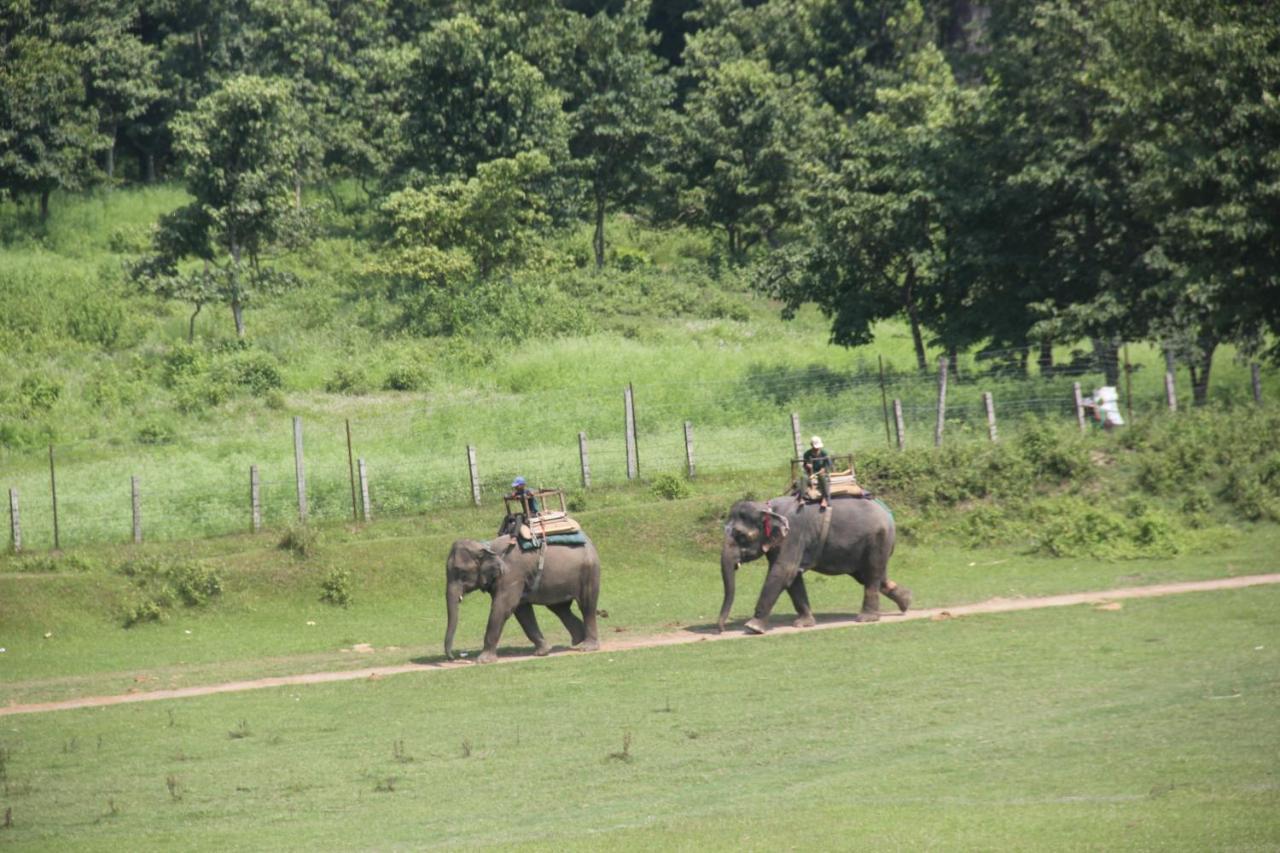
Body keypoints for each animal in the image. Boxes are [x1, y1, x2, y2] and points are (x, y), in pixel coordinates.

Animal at [442, 532, 601, 666]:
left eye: (461, 572)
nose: (453, 658)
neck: (487, 547)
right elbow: (521, 610)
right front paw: (542, 652)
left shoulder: (512, 575)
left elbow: (502, 608)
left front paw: (483, 661)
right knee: (560, 608)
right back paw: (578, 639)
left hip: (589, 571)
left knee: (586, 606)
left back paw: (588, 647)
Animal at [721, 491, 911, 630]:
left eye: (741, 536)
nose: (720, 629)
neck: (766, 507)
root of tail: (887, 511)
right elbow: (793, 578)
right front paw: (803, 624)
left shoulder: (793, 535)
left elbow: (783, 572)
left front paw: (752, 627)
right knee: (869, 575)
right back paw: (906, 602)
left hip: (878, 539)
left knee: (872, 574)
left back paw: (866, 618)